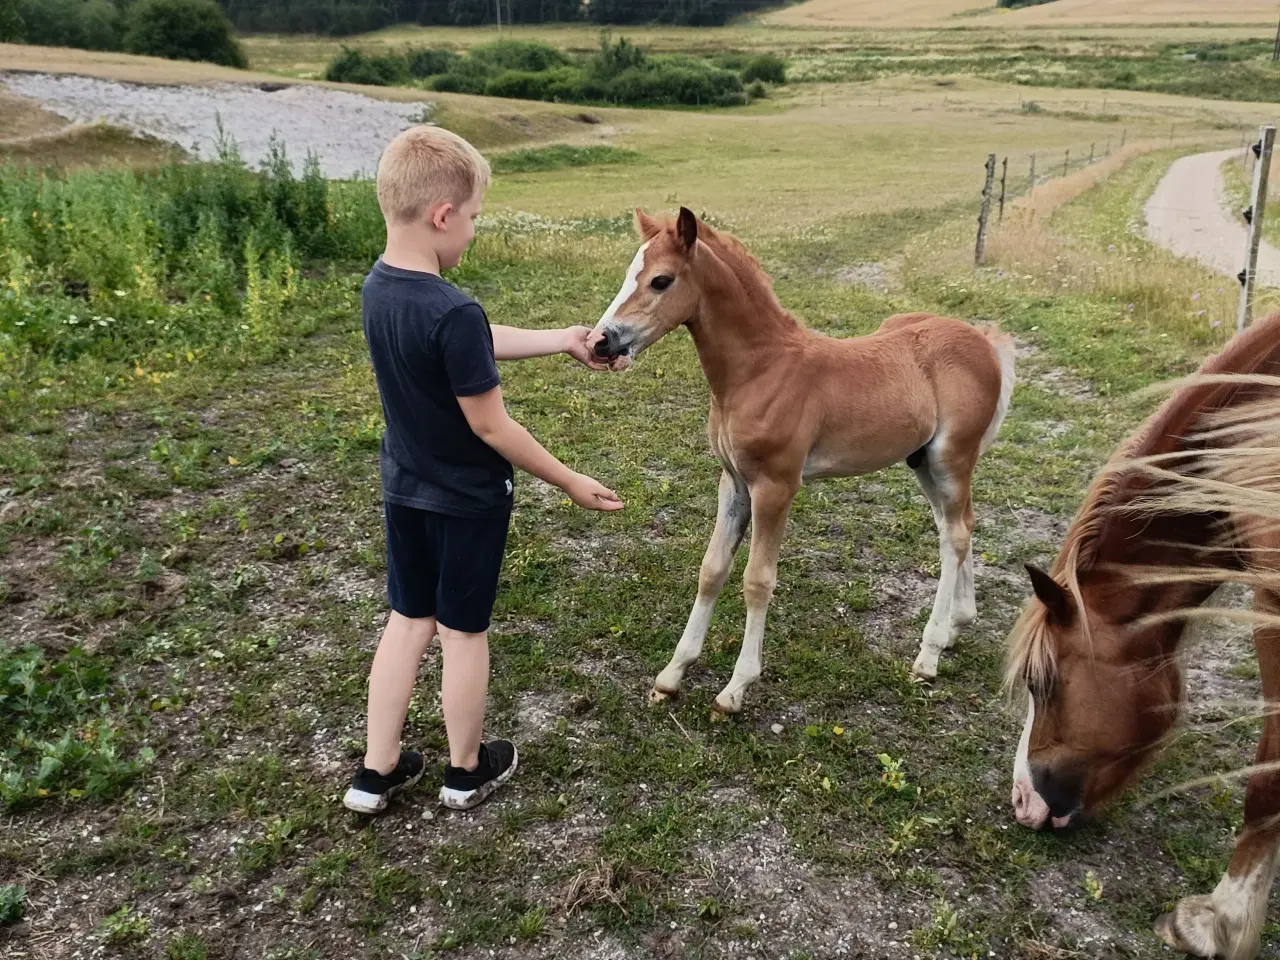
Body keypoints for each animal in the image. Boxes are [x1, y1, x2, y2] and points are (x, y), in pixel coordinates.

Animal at [586, 212, 1013, 721]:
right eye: (630, 271)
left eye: (660, 280)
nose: (600, 341)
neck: (761, 371)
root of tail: (982, 341)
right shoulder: (733, 483)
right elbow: (712, 570)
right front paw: (672, 675)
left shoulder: (775, 486)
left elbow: (757, 580)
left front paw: (735, 688)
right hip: (923, 461)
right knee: (961, 526)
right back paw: (955, 627)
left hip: (952, 458)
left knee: (955, 536)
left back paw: (928, 654)